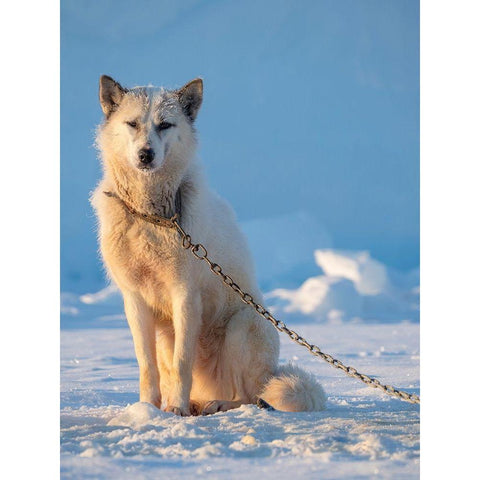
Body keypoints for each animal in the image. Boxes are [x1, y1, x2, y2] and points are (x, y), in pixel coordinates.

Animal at [92, 75, 326, 416]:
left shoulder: (186, 296)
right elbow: (147, 366)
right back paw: (196, 402)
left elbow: (182, 363)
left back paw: (215, 404)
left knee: (253, 397)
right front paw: (146, 409)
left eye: (165, 125)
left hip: (242, 326)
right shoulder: (134, 300)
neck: (153, 218)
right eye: (132, 124)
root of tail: (271, 373)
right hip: (167, 336)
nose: (145, 154)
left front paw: (176, 410)